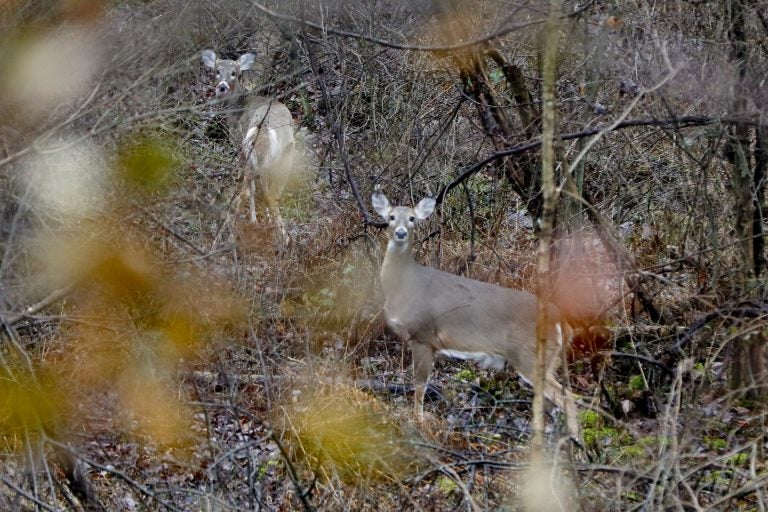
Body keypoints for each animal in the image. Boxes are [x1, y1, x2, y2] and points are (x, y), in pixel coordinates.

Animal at [201, 49, 296, 241]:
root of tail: (265, 126)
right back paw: (284, 237)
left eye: (234, 73)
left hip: (251, 151)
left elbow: (251, 188)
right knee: (274, 194)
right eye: (217, 71)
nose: (222, 87)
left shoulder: (238, 145)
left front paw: (254, 220)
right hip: (287, 155)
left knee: (247, 190)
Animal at [370, 190, 576, 438]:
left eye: (412, 219)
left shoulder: (423, 337)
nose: (400, 233)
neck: (404, 285)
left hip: (531, 355)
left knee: (567, 398)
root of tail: (561, 320)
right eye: (390, 217)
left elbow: (420, 385)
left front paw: (418, 420)